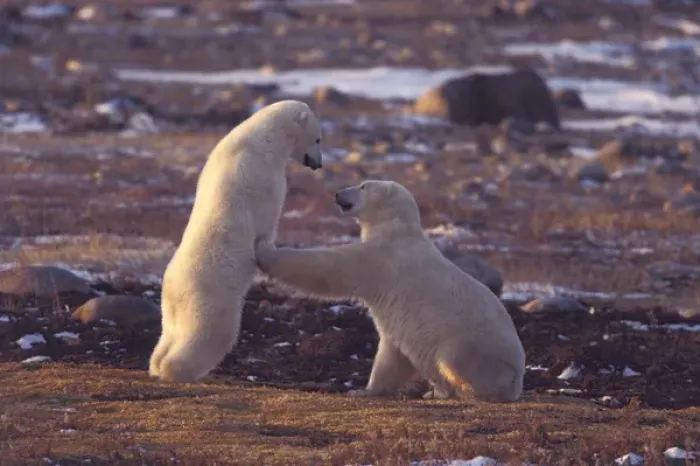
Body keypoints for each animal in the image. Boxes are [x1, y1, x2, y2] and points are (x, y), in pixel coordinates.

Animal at [149, 99, 324, 383]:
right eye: (318, 138)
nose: (318, 164)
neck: (261, 137)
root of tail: (174, 289)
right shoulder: (262, 176)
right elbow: (266, 216)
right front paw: (267, 248)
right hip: (210, 298)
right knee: (210, 335)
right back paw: (178, 370)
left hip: (170, 307)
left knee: (169, 333)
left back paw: (156, 364)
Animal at [254, 180, 526, 402]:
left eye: (363, 185)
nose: (338, 194)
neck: (398, 228)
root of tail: (517, 380)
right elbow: (392, 353)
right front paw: (364, 390)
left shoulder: (382, 259)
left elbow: (330, 268)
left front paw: (264, 250)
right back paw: (435, 391)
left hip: (477, 350)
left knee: (453, 358)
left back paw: (463, 392)